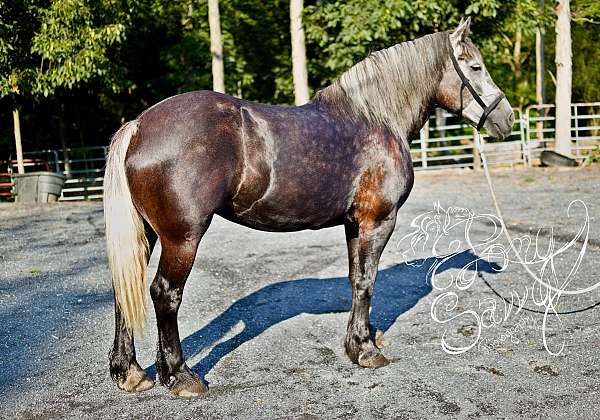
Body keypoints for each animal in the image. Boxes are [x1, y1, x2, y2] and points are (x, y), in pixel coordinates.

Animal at [102, 18, 510, 398]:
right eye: (475, 67)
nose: (504, 118)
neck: (375, 119)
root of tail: (138, 126)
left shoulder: (354, 223)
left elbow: (355, 279)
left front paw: (357, 342)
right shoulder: (377, 221)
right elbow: (367, 280)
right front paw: (366, 351)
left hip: (147, 232)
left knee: (126, 291)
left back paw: (130, 372)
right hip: (182, 237)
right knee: (165, 293)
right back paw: (180, 375)